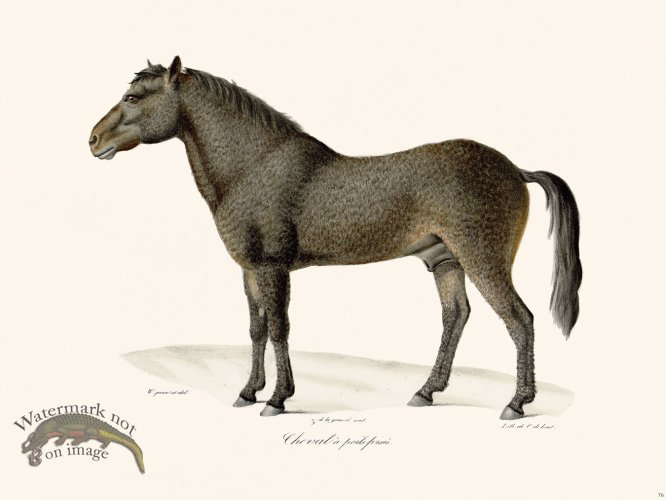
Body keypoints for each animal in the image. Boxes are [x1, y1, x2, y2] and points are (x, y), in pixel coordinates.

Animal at [89, 56, 582, 419]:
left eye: (133, 96)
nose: (93, 140)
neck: (253, 166)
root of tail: (515, 169)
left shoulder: (273, 267)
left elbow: (279, 327)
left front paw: (277, 399)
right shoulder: (249, 270)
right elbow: (256, 328)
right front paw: (248, 391)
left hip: (483, 259)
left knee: (519, 319)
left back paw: (516, 403)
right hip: (446, 261)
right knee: (456, 316)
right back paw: (426, 392)